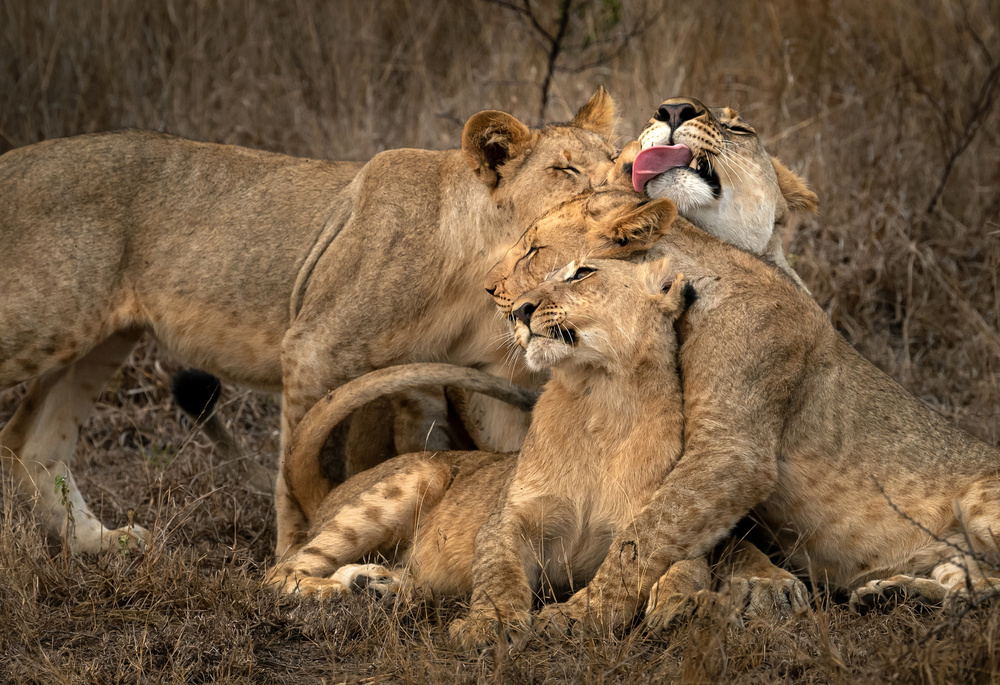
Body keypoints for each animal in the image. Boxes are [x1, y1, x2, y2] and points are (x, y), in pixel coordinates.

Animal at [0, 87, 618, 557]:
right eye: (566, 170)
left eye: (614, 157)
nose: (624, 187)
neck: (482, 258)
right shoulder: (315, 347)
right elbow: (303, 464)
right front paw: (300, 553)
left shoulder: (491, 373)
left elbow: (520, 455)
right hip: (40, 318)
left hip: (97, 339)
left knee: (32, 444)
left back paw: (100, 543)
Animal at [481, 190, 1000, 633]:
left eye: (534, 251)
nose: (496, 296)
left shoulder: (733, 452)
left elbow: (643, 534)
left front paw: (581, 614)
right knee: (971, 582)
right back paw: (892, 595)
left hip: (983, 505)